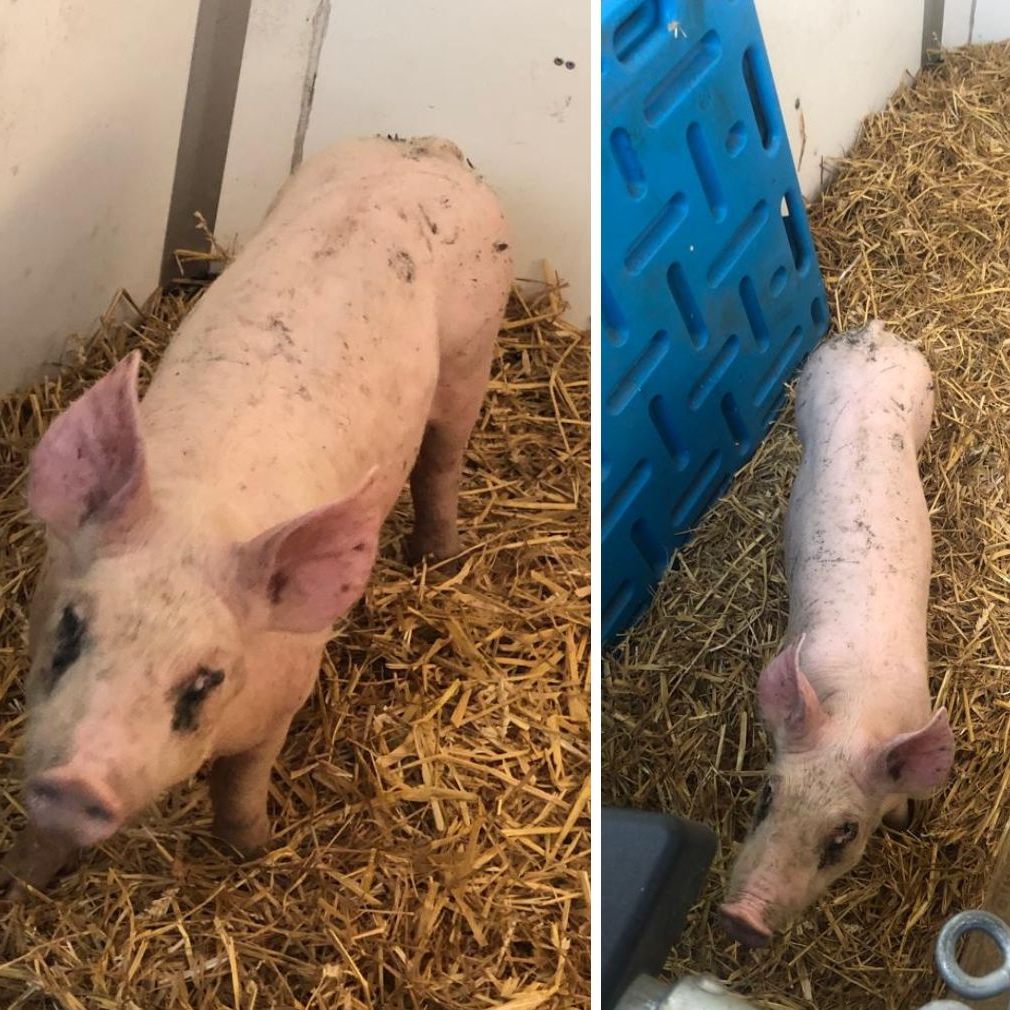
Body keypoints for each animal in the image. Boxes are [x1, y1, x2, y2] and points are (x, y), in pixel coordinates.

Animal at [0, 135, 512, 896]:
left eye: (204, 679)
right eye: (70, 627)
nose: (76, 782)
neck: (202, 514)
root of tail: (432, 148)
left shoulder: (285, 693)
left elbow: (242, 781)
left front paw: (254, 851)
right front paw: (21, 882)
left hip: (472, 350)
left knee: (442, 461)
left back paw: (437, 556)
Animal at [718, 321, 955, 947]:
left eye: (844, 833)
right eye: (766, 796)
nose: (741, 919)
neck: (854, 714)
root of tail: (874, 329)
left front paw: (904, 827)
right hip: (808, 387)